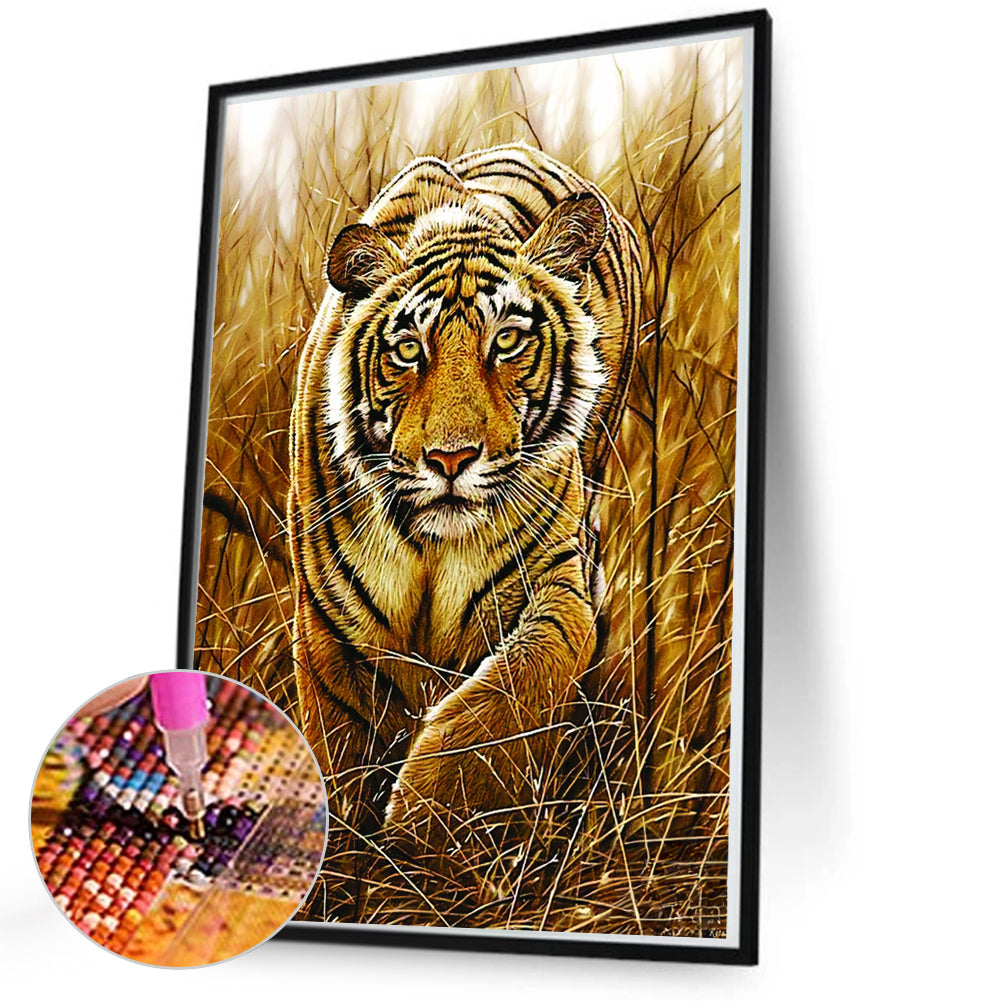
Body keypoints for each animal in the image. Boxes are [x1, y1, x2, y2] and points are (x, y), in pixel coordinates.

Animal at [288, 142, 641, 853]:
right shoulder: (330, 626)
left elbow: (513, 689)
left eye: (506, 341)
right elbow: (339, 755)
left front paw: (425, 830)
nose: (450, 459)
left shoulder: (557, 582)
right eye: (407, 350)